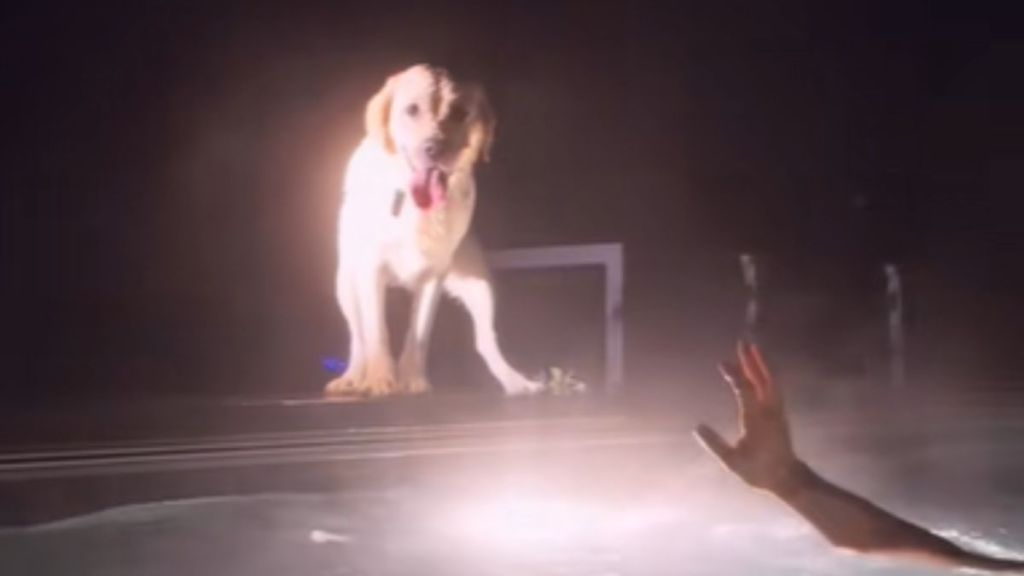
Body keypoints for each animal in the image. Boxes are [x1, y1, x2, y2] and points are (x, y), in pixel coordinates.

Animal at [329, 62, 544, 393]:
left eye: (459, 112)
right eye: (412, 110)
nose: (434, 148)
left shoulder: (434, 275)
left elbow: (419, 333)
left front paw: (413, 381)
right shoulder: (370, 269)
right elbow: (375, 332)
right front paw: (380, 379)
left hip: (481, 286)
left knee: (485, 340)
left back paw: (516, 382)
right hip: (345, 283)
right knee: (358, 337)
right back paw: (353, 377)